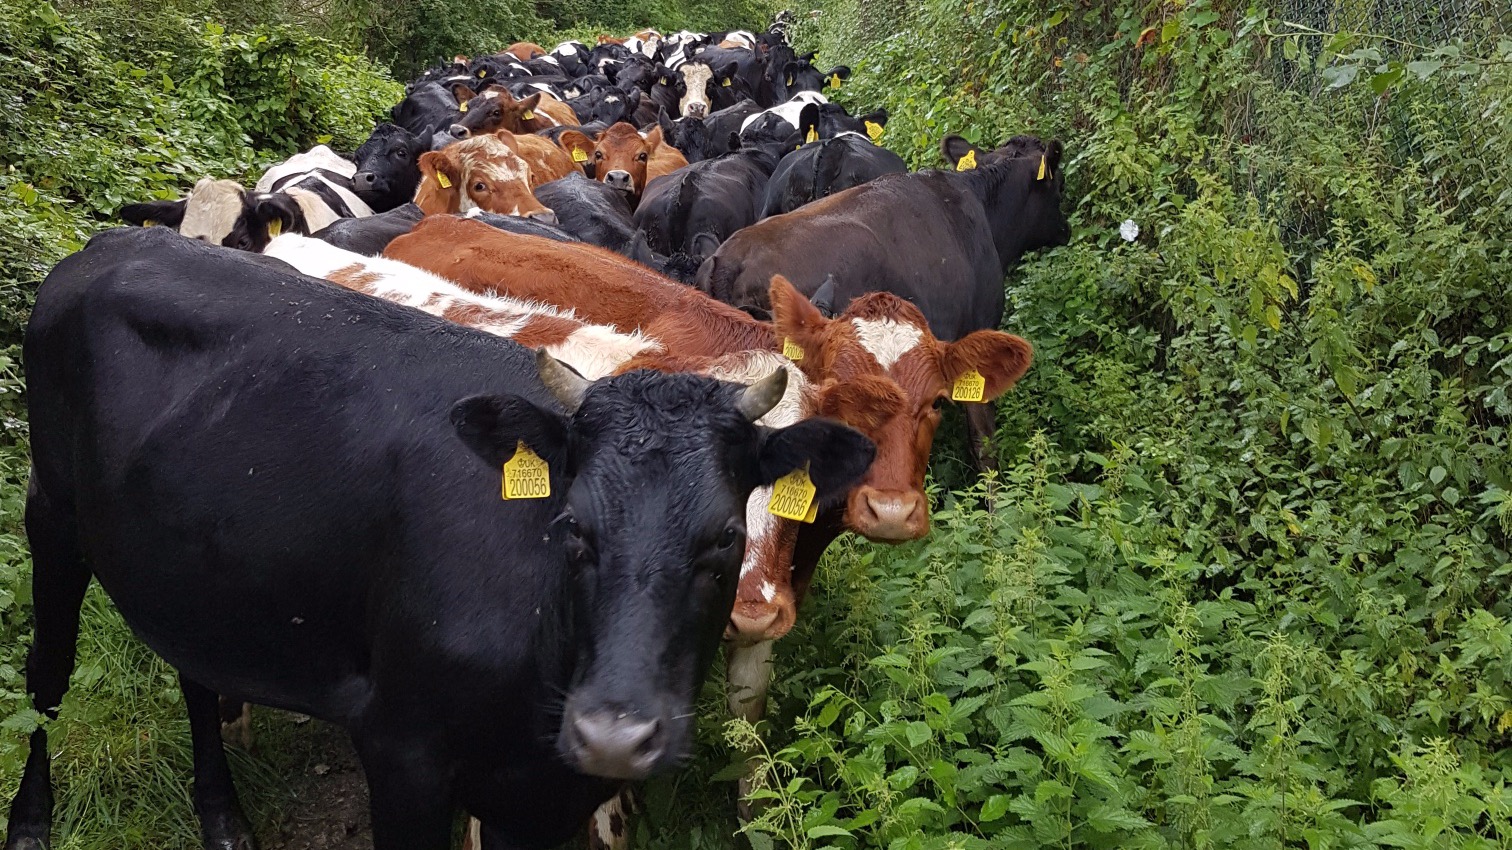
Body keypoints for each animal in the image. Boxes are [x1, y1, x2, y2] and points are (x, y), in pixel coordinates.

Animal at [7, 225, 875, 850]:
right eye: (571, 526)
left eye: (723, 535)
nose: (615, 733)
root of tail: (110, 244)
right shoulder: (403, 755)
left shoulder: (542, 793)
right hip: (50, 511)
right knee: (45, 674)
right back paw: (30, 820)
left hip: (197, 561)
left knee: (195, 669)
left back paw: (222, 816)